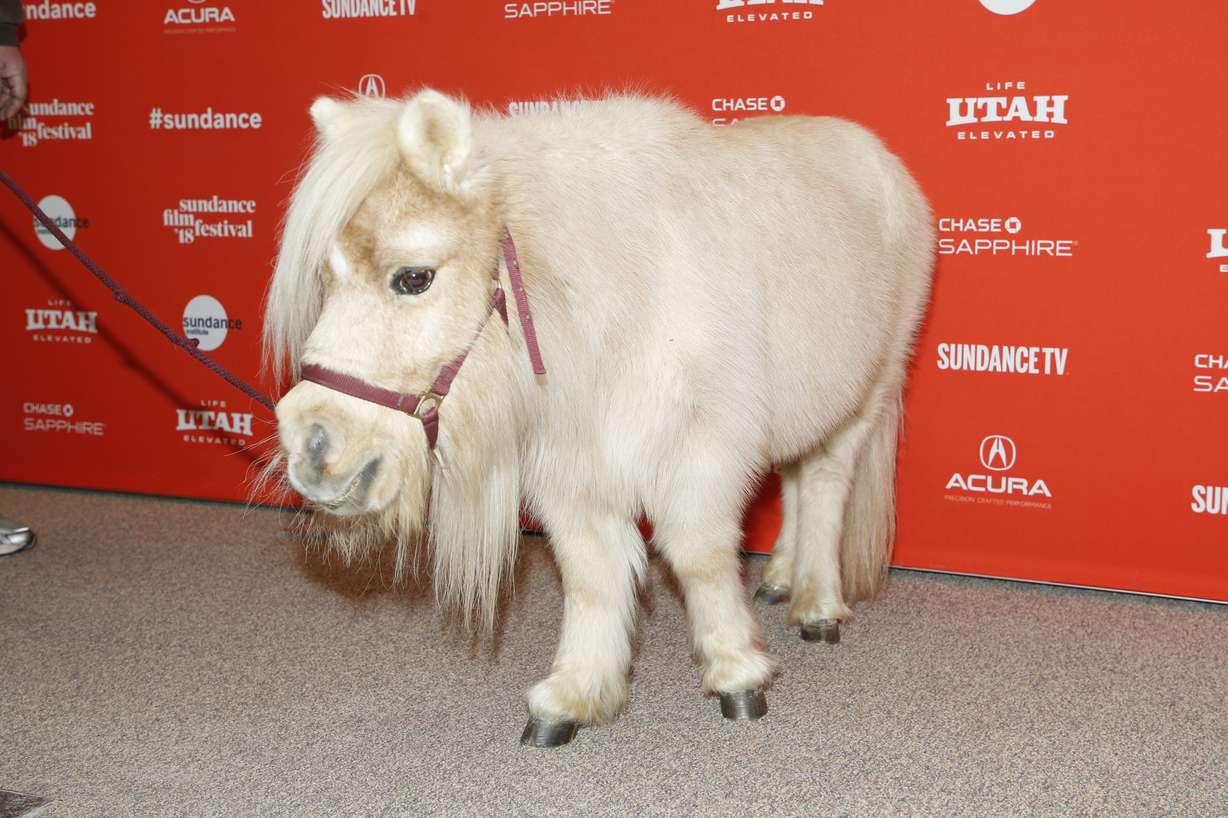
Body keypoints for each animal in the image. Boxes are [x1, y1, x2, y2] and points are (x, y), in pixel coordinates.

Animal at [263, 88, 935, 747]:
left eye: (413, 277)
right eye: (327, 277)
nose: (313, 446)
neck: (608, 296)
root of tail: (885, 165)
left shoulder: (701, 453)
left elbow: (699, 556)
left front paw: (737, 675)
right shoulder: (571, 465)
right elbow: (590, 574)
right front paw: (575, 694)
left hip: (868, 392)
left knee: (824, 485)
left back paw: (817, 605)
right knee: (796, 477)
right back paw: (780, 579)